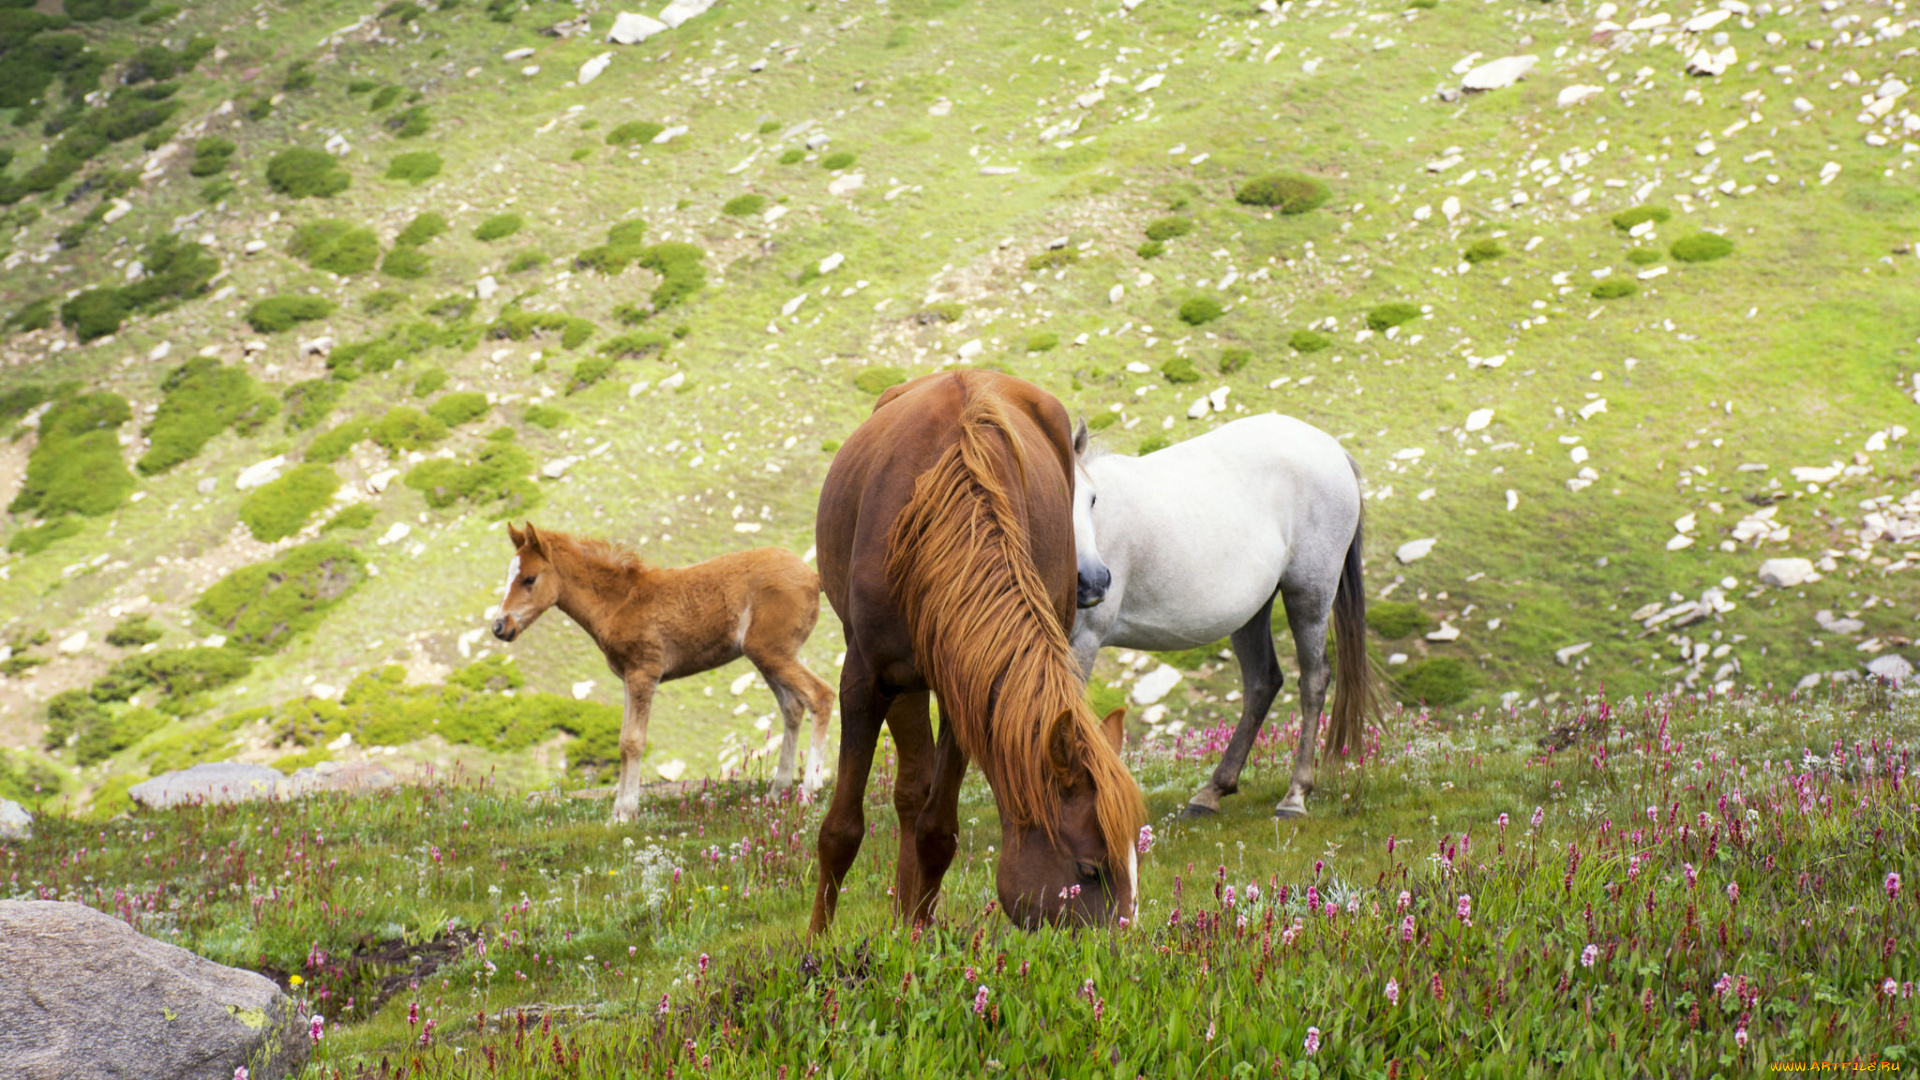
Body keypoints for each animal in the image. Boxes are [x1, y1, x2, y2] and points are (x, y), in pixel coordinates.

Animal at [490, 523, 836, 821]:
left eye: (529, 579)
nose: (499, 626)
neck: (619, 602)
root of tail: (812, 576)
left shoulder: (644, 673)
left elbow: (633, 741)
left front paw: (625, 813)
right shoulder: (628, 679)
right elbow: (622, 742)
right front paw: (616, 813)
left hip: (772, 652)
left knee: (821, 695)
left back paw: (809, 789)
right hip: (768, 656)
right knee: (793, 707)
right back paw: (777, 792)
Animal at [811, 370, 1145, 933]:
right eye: (1089, 870)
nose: (1127, 947)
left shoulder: (968, 687)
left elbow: (935, 831)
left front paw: (917, 934)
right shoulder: (865, 680)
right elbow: (841, 830)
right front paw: (816, 943)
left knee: (916, 798)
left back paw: (907, 919)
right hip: (901, 682)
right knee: (907, 791)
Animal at [1068, 412, 1379, 819]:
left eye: (1092, 499)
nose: (1093, 582)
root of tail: (1332, 448)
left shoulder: (1083, 641)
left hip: (1309, 593)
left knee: (1313, 680)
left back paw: (1294, 797)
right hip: (1252, 612)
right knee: (1263, 682)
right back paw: (1213, 791)